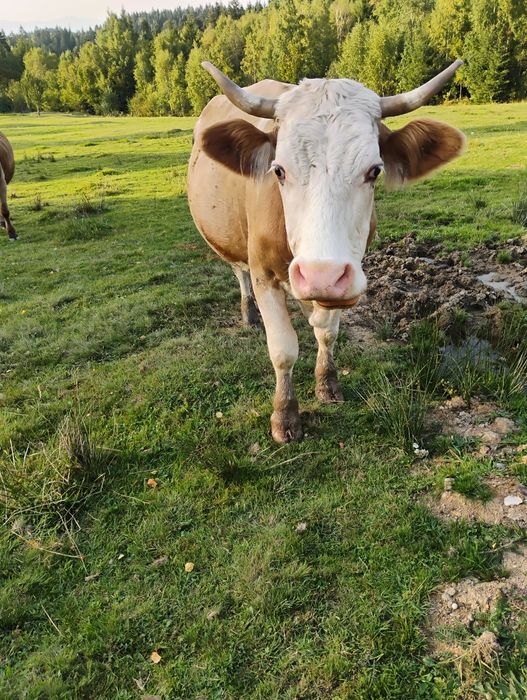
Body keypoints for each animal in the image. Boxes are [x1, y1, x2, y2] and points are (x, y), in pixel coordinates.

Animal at [188, 61, 465, 443]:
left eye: (374, 171)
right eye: (279, 170)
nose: (322, 276)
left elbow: (327, 332)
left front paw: (327, 383)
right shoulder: (264, 276)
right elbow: (283, 350)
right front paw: (285, 416)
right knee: (238, 271)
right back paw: (249, 313)